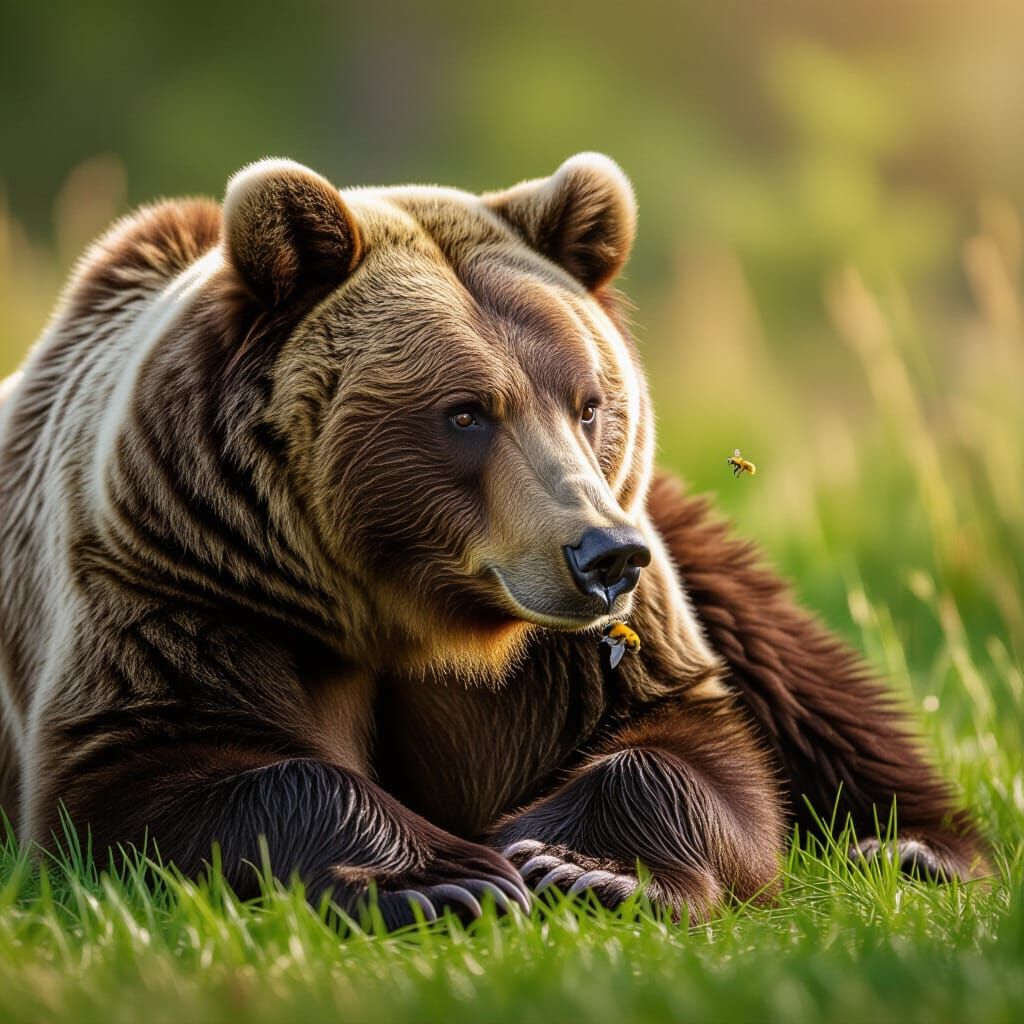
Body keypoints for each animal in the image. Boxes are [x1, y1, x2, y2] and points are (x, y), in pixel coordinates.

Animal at [0, 154, 988, 926]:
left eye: (588, 402)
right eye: (466, 412)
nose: (603, 556)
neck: (412, 610)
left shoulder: (580, 649)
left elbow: (688, 746)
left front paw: (575, 866)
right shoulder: (186, 586)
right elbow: (157, 772)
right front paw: (447, 880)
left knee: (791, 665)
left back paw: (913, 848)